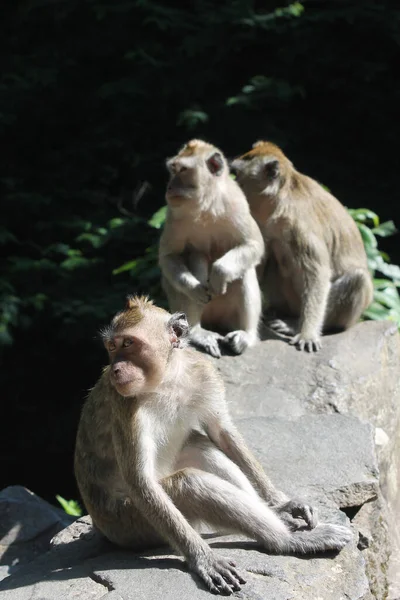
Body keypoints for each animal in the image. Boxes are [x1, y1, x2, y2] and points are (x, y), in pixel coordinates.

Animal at [73, 296, 352, 596]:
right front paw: (204, 559)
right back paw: (285, 541)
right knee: (189, 483)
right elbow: (140, 481)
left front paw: (281, 503)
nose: (115, 368)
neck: (167, 379)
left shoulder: (202, 372)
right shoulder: (125, 405)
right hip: (130, 524)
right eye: (112, 347)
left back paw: (278, 516)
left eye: (128, 343)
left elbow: (222, 433)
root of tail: (102, 529)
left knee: (199, 445)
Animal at [159, 138, 266, 358]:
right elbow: (169, 256)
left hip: (228, 315)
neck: (206, 205)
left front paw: (219, 273)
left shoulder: (237, 202)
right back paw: (197, 332)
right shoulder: (173, 213)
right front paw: (194, 288)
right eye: (173, 170)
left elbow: (253, 244)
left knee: (244, 271)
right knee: (196, 257)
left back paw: (247, 335)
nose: (170, 187)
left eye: (183, 170)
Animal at [230, 141, 374, 352]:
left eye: (237, 173)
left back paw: (294, 325)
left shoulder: (302, 224)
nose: (231, 184)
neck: (280, 201)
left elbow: (316, 274)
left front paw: (307, 333)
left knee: (358, 279)